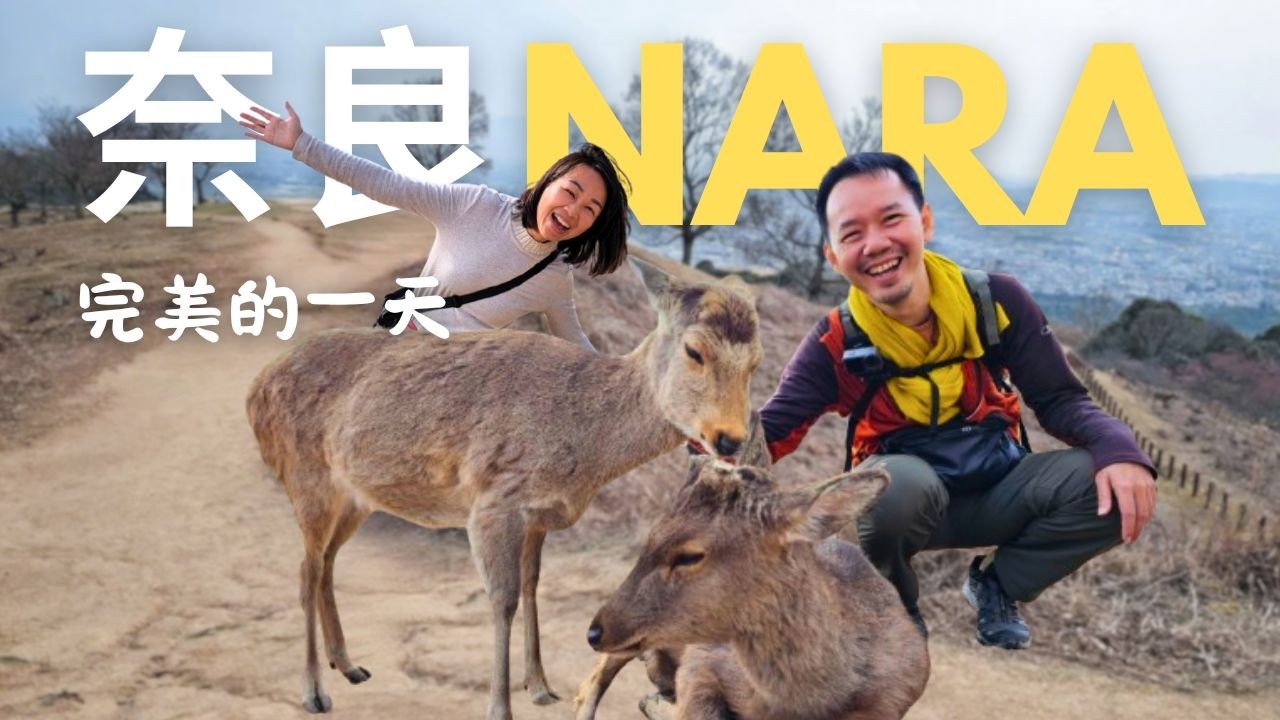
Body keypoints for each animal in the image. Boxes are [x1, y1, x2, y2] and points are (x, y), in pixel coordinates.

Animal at [245, 259, 762, 720]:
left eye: (756, 362)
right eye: (695, 351)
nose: (729, 439)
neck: (582, 446)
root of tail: (255, 389)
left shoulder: (539, 514)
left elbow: (533, 584)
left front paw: (541, 686)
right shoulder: (493, 500)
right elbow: (503, 597)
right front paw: (501, 707)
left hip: (355, 499)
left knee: (327, 563)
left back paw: (349, 666)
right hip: (306, 476)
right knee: (306, 570)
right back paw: (314, 692)